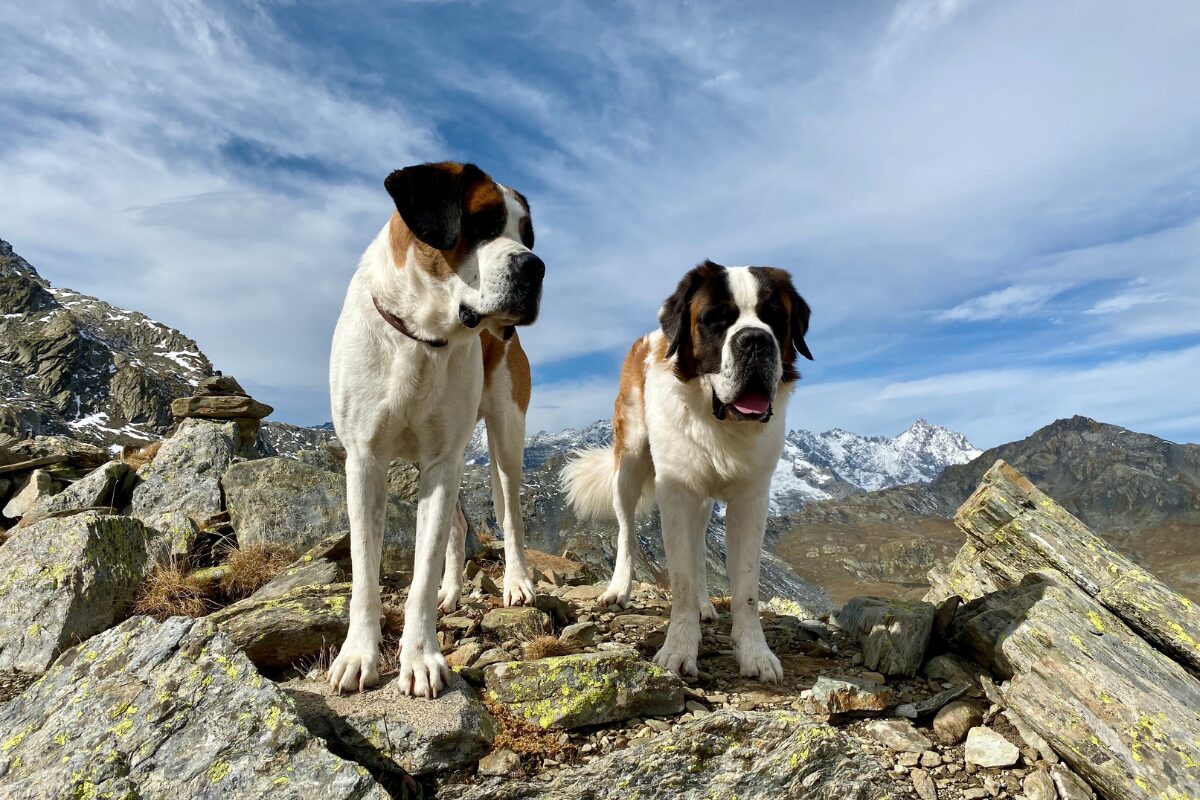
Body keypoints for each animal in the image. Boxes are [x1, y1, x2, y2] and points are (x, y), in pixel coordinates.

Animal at [328, 160, 544, 695]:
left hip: (505, 437)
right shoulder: (365, 462)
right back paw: (452, 593)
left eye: (527, 235)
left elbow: (420, 573)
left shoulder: (443, 462)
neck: (421, 338)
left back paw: (517, 583)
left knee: (510, 515)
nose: (535, 266)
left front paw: (421, 658)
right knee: (458, 524)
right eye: (482, 221)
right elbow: (365, 570)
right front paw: (358, 655)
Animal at [564, 262, 811, 681]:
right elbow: (678, 578)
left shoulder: (751, 500)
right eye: (716, 320)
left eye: (775, 317)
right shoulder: (676, 493)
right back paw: (619, 589)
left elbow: (746, 586)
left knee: (697, 547)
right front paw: (679, 648)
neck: (719, 424)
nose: (756, 341)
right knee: (627, 532)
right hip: (630, 464)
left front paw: (755, 653)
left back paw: (703, 604)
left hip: (702, 500)